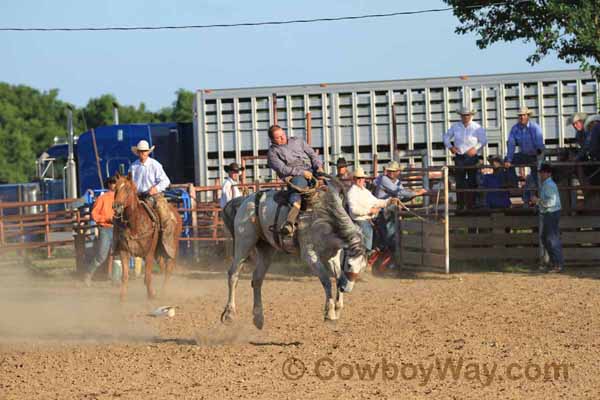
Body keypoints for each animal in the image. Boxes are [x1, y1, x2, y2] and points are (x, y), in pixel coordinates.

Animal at [112, 173, 183, 302]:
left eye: (127, 189)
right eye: (115, 188)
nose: (116, 206)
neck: (134, 223)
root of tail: (176, 213)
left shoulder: (149, 253)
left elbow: (148, 276)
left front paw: (151, 296)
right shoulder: (124, 251)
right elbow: (125, 276)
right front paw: (122, 299)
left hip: (171, 246)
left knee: (168, 268)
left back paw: (164, 292)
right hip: (158, 252)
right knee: (162, 266)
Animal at [219, 176, 366, 328]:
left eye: (362, 267)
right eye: (349, 264)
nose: (347, 288)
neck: (324, 218)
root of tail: (245, 200)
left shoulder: (332, 257)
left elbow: (337, 277)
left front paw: (337, 308)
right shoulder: (310, 255)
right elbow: (326, 280)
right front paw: (329, 313)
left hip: (266, 248)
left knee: (257, 278)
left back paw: (258, 318)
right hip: (244, 242)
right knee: (233, 274)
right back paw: (229, 314)